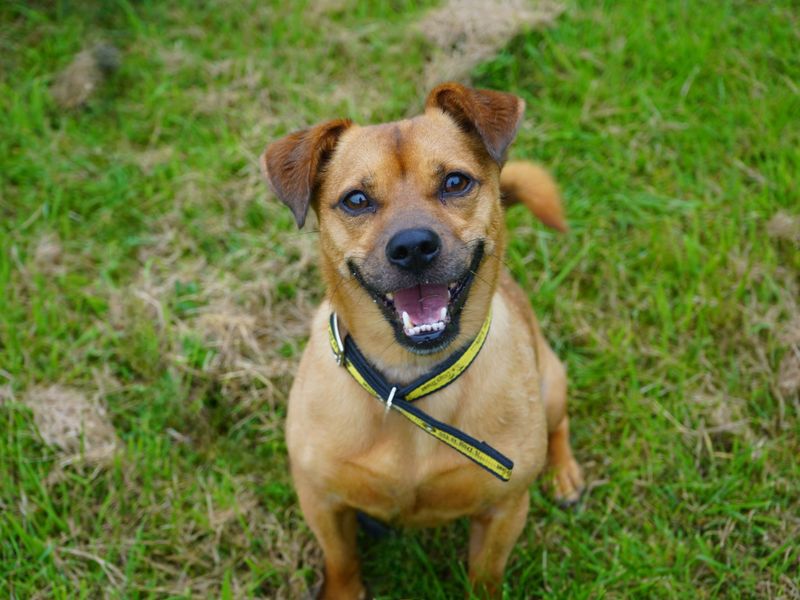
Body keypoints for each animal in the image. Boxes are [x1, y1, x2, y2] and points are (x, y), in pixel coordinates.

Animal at [266, 82, 584, 596]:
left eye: (455, 182)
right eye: (357, 200)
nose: (413, 246)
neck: (409, 382)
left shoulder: (503, 512)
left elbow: (485, 578)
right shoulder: (323, 501)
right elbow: (342, 563)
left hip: (552, 382)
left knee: (560, 424)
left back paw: (565, 475)